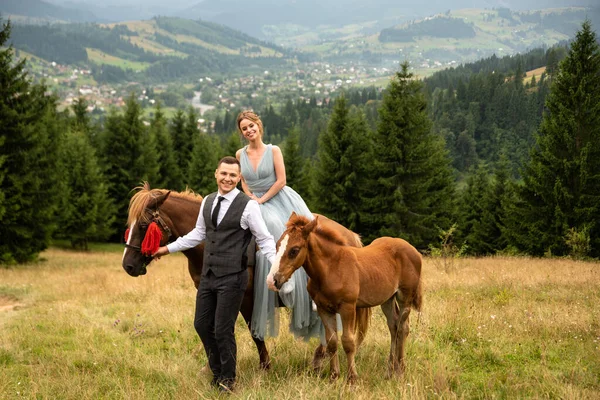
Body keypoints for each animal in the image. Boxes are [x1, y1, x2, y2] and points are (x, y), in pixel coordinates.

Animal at [120, 183, 370, 370]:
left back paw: (319, 359)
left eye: (144, 225)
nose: (128, 265)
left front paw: (265, 365)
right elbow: (211, 328)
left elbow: (253, 332)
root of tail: (350, 236)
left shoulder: (245, 298)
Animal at [272, 212, 422, 384]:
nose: (275, 279)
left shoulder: (348, 307)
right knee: (394, 326)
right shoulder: (324, 308)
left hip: (405, 297)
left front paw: (352, 378)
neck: (331, 268)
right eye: (277, 245)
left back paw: (400, 370)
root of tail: (414, 251)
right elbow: (331, 341)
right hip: (387, 299)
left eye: (294, 250)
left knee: (403, 328)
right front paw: (333, 376)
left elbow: (348, 342)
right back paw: (390, 371)